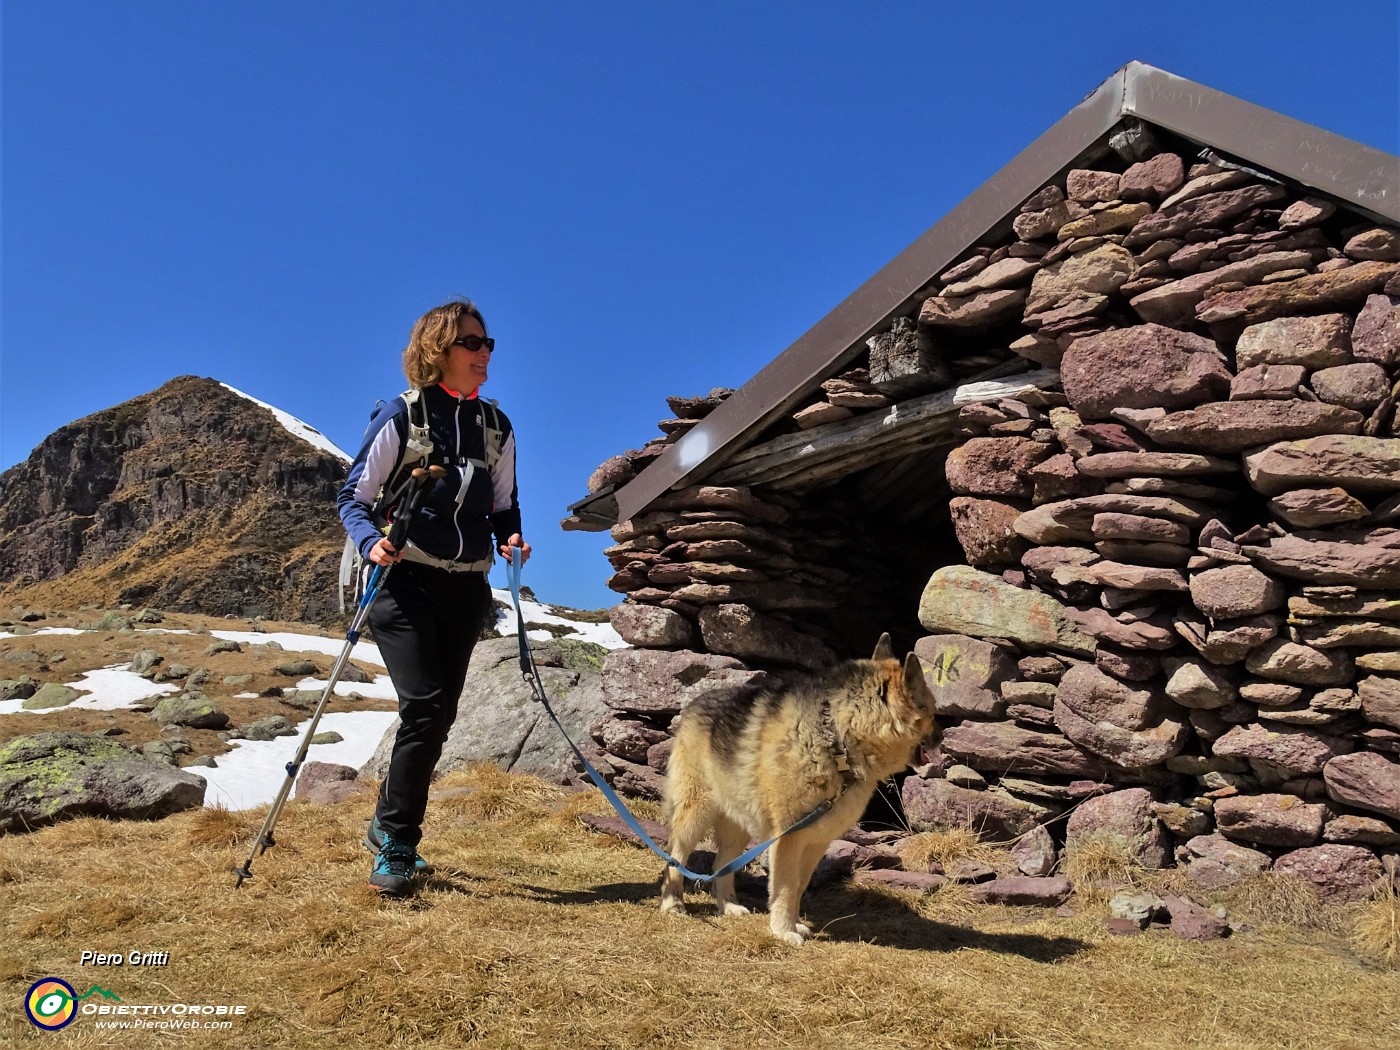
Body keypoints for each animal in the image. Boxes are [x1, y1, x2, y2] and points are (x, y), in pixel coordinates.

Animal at [658, 632, 940, 946]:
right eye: (933, 712)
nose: (942, 737)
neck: (838, 741)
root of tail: (695, 702)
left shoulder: (816, 841)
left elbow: (797, 886)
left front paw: (794, 924)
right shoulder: (788, 837)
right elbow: (783, 887)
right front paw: (782, 931)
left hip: (737, 827)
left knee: (722, 865)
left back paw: (728, 906)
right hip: (694, 814)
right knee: (675, 859)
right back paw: (672, 904)